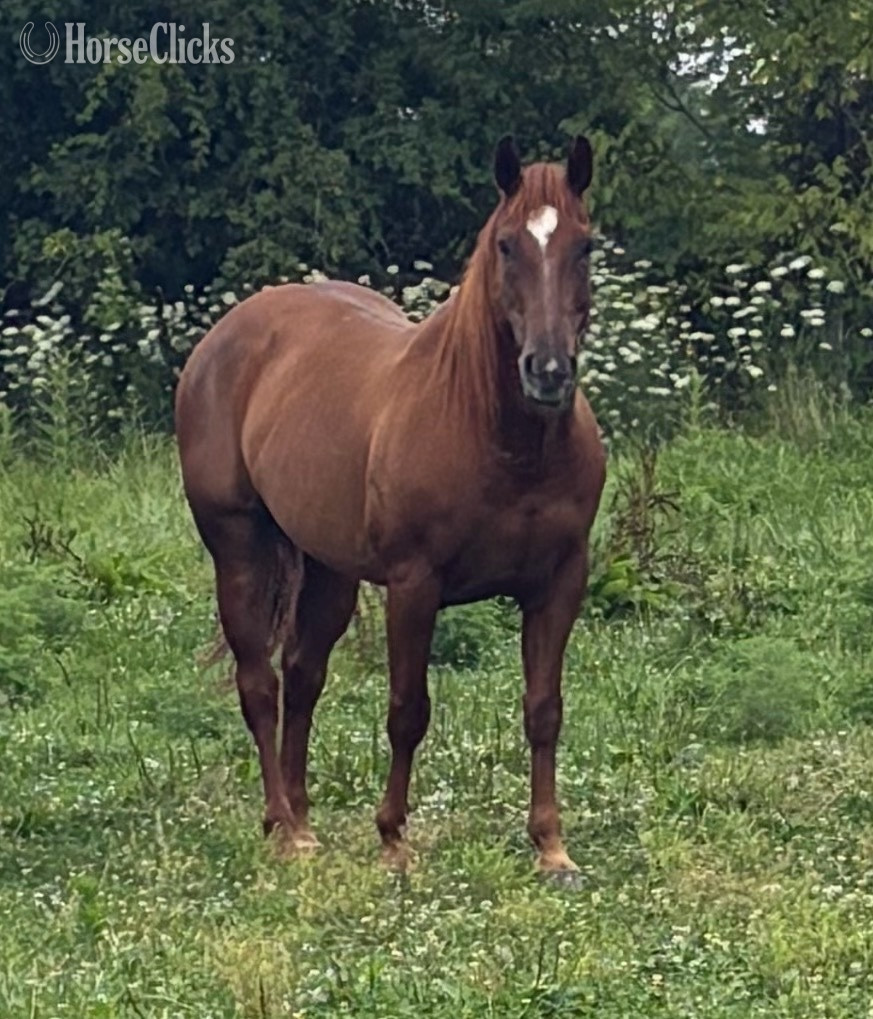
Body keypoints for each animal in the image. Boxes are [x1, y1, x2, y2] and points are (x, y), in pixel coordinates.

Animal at [175, 135, 606, 877]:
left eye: (583, 245)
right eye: (506, 245)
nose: (547, 371)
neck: (501, 440)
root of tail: (221, 338)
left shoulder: (559, 582)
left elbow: (543, 708)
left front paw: (551, 846)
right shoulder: (414, 584)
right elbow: (408, 709)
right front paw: (393, 839)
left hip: (328, 567)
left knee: (303, 675)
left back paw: (302, 817)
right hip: (236, 548)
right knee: (259, 684)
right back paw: (284, 828)